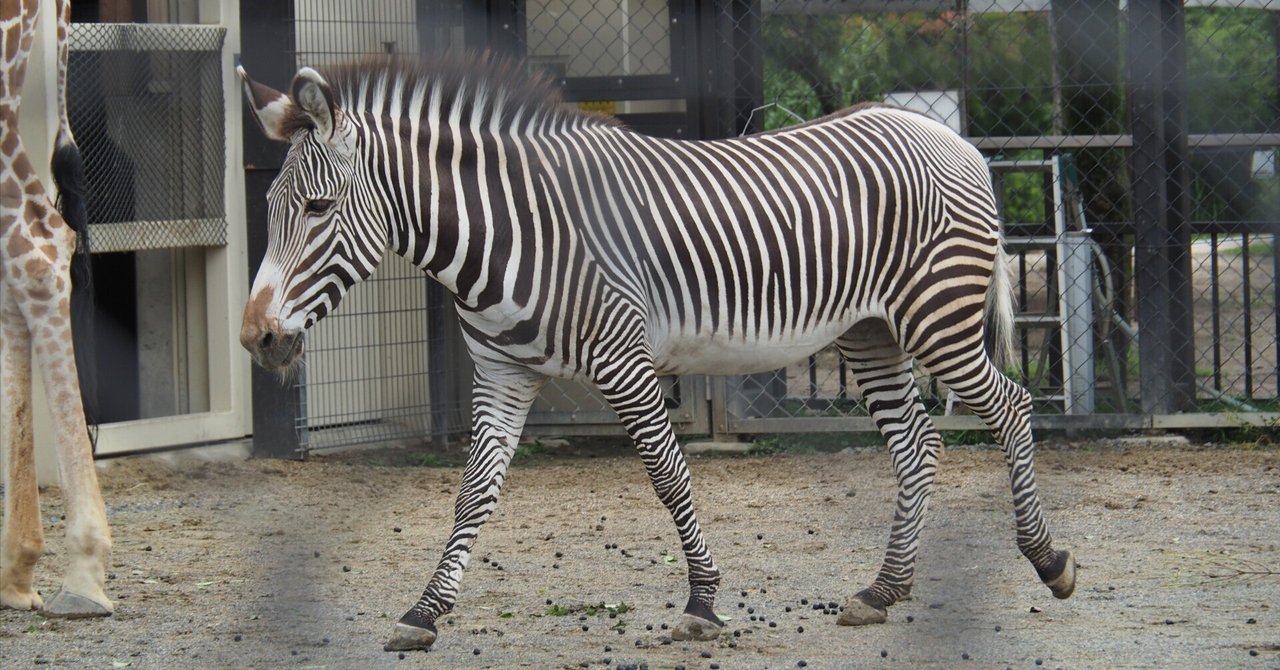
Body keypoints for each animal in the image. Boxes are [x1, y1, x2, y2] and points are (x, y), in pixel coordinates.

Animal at [237, 54, 1076, 652]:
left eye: (318, 208)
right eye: (270, 208)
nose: (256, 338)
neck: (510, 235)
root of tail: (949, 135)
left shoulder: (623, 361)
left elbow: (670, 477)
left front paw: (702, 601)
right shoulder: (502, 373)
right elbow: (473, 492)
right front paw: (424, 611)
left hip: (938, 318)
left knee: (1011, 406)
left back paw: (1047, 560)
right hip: (868, 333)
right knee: (918, 444)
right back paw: (882, 590)